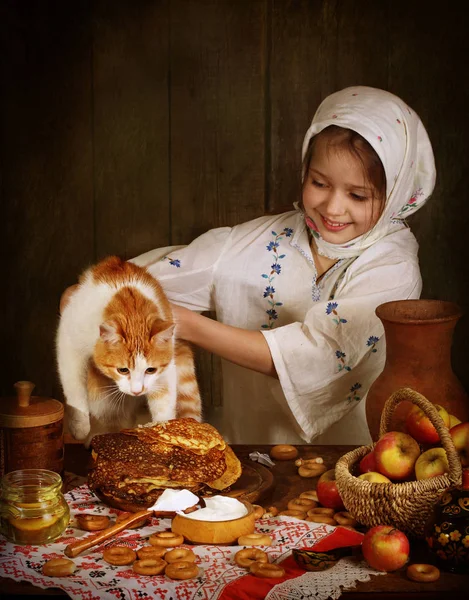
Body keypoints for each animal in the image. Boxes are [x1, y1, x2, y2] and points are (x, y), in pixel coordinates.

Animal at [55, 255, 200, 448]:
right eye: (122, 370)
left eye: (150, 370)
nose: (138, 391)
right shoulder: (69, 344)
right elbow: (74, 389)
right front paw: (79, 426)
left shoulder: (166, 369)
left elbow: (163, 400)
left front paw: (163, 432)